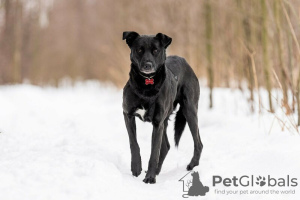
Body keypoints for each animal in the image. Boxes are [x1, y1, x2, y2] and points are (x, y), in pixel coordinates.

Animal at [122, 30, 204, 183]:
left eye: (155, 50)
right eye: (139, 50)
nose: (147, 65)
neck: (146, 86)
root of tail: (185, 61)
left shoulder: (157, 122)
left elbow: (154, 152)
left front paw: (149, 178)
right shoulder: (128, 114)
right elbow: (134, 143)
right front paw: (136, 168)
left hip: (189, 110)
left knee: (198, 143)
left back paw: (192, 165)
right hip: (168, 119)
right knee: (166, 146)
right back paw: (157, 171)